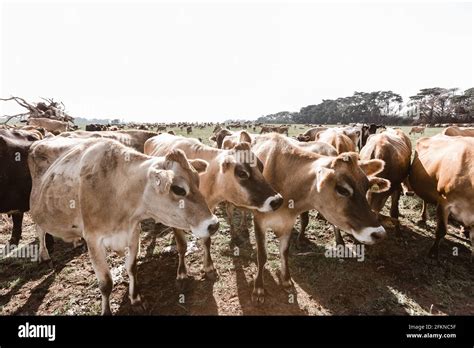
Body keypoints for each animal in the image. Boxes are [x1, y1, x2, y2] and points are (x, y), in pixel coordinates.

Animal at [27, 137, 217, 316]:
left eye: (198, 182)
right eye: (178, 189)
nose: (214, 224)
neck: (118, 191)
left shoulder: (133, 232)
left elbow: (131, 268)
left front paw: (136, 299)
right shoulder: (93, 240)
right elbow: (105, 283)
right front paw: (106, 311)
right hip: (37, 212)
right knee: (40, 230)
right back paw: (45, 255)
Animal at [144, 133, 284, 282]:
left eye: (261, 167)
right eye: (242, 173)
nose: (277, 200)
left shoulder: (209, 215)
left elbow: (206, 241)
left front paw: (209, 267)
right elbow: (182, 245)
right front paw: (182, 272)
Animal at [248, 133, 388, 302]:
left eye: (366, 187)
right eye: (342, 189)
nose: (379, 234)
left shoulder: (288, 222)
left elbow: (284, 251)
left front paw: (286, 280)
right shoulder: (259, 221)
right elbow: (262, 255)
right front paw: (259, 288)